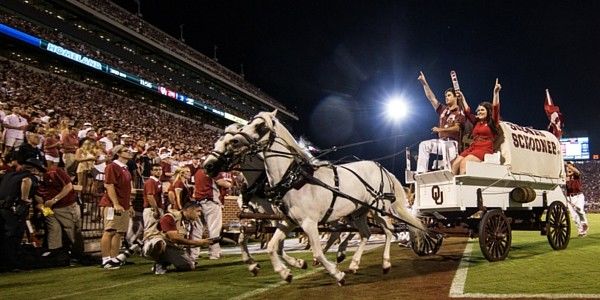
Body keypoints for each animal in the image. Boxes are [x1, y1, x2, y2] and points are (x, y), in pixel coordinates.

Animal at [223, 110, 424, 286]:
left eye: (261, 126)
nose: (234, 141)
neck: (294, 179)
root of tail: (380, 167)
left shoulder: (309, 223)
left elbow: (318, 252)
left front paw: (337, 274)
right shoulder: (289, 221)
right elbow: (273, 247)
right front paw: (285, 272)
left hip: (379, 209)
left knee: (389, 231)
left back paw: (385, 263)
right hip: (359, 212)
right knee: (366, 234)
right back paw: (354, 264)